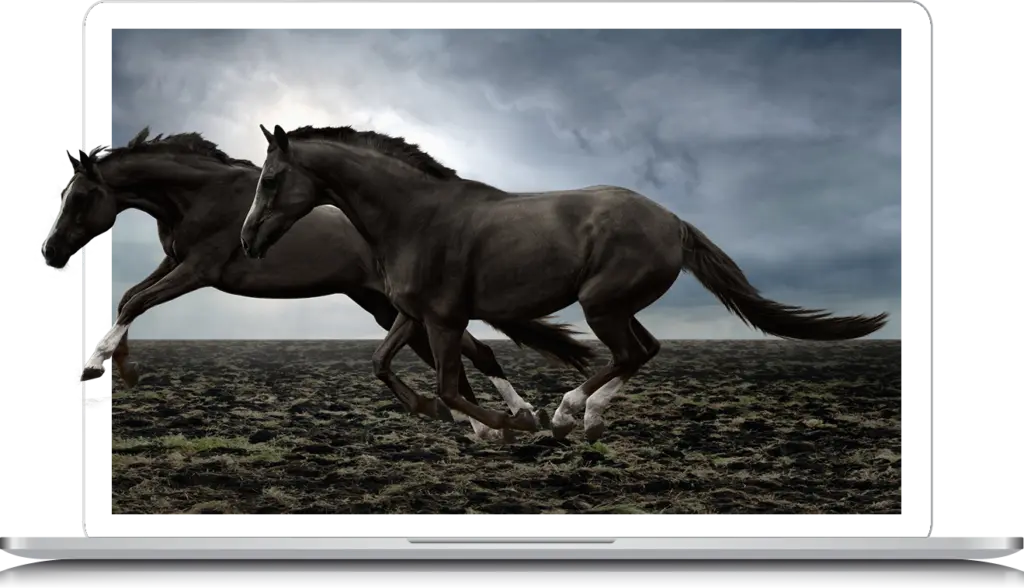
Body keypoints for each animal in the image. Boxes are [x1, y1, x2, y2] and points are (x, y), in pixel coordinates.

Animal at [43, 128, 598, 442]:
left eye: (80, 197)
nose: (50, 252)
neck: (198, 195)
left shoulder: (198, 270)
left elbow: (135, 302)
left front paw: (97, 367)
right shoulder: (174, 262)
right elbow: (127, 298)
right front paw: (120, 365)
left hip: (402, 306)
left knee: (476, 352)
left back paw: (515, 416)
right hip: (384, 306)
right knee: (462, 355)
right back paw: (484, 422)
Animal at [240, 123, 890, 443]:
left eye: (270, 179)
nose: (247, 240)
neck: (414, 217)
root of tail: (673, 220)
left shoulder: (446, 318)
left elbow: (451, 385)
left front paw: (510, 424)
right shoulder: (412, 313)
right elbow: (380, 364)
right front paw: (436, 411)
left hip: (601, 303)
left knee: (629, 353)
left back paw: (566, 412)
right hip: (615, 304)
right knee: (646, 349)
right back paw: (589, 418)